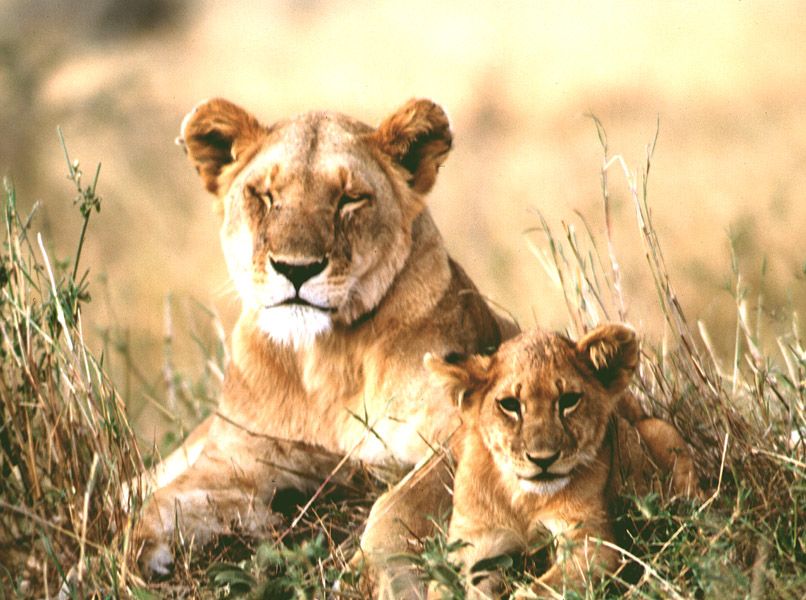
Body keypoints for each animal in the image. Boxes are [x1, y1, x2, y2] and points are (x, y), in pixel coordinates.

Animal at [133, 97, 518, 577]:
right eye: (264, 195)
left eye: (349, 199)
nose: (295, 269)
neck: (322, 358)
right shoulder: (238, 455)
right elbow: (162, 503)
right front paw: (132, 556)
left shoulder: (462, 431)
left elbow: (404, 503)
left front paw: (376, 567)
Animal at [423, 324, 699, 598]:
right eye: (510, 405)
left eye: (569, 400)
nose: (543, 459)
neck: (524, 499)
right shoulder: (471, 546)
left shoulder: (591, 544)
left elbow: (535, 591)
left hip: (661, 432)